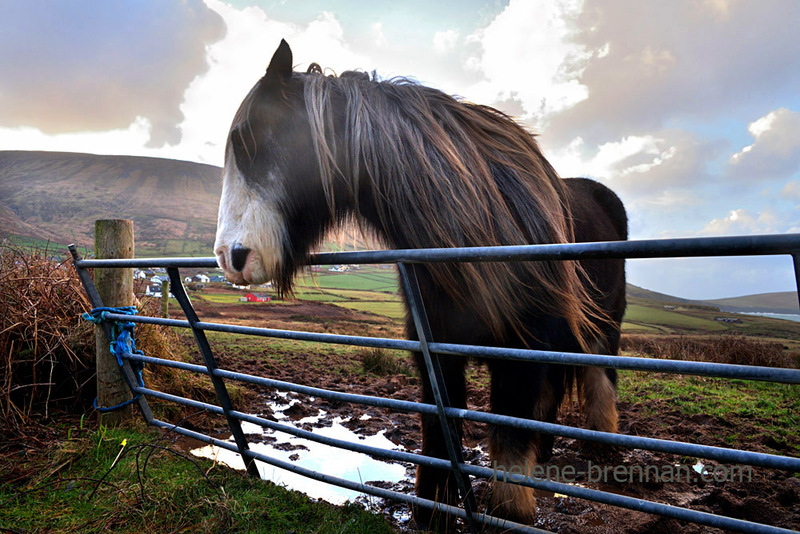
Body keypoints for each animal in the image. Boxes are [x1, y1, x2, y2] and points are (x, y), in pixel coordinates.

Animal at [216, 39, 628, 528]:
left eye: (248, 137)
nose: (228, 258)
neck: (475, 233)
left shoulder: (520, 352)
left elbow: (509, 440)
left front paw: (511, 512)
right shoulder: (435, 348)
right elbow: (438, 431)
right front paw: (433, 510)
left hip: (603, 329)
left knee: (599, 381)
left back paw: (603, 452)